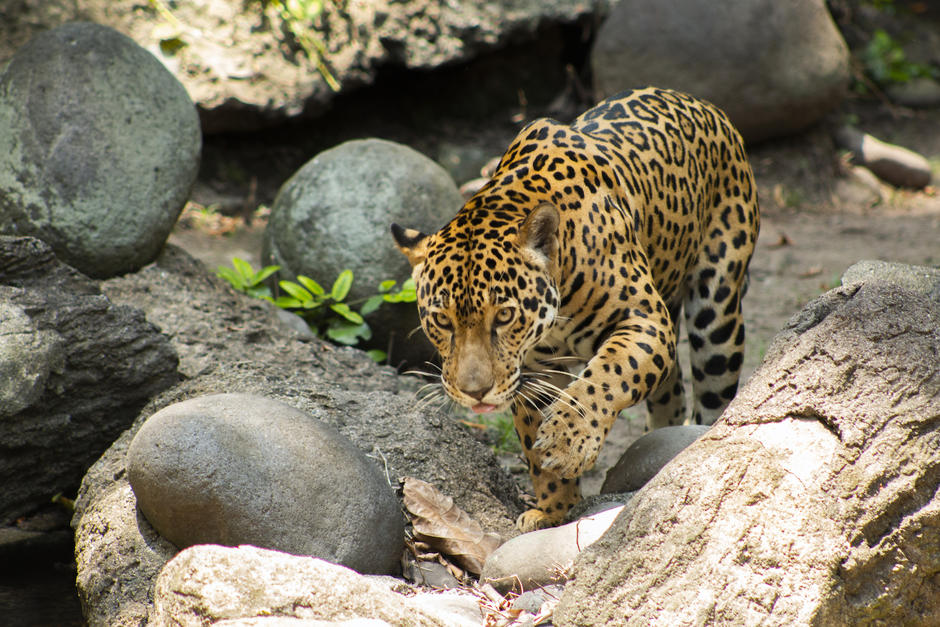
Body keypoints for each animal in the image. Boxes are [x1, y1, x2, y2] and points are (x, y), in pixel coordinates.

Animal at [391, 86, 759, 532]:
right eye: (442, 321)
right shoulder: (531, 373)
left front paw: (568, 441)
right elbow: (533, 445)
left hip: (717, 314)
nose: (475, 393)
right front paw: (553, 509)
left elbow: (609, 373)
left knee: (712, 390)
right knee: (669, 389)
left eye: (504, 316)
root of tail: (701, 104)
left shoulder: (644, 321)